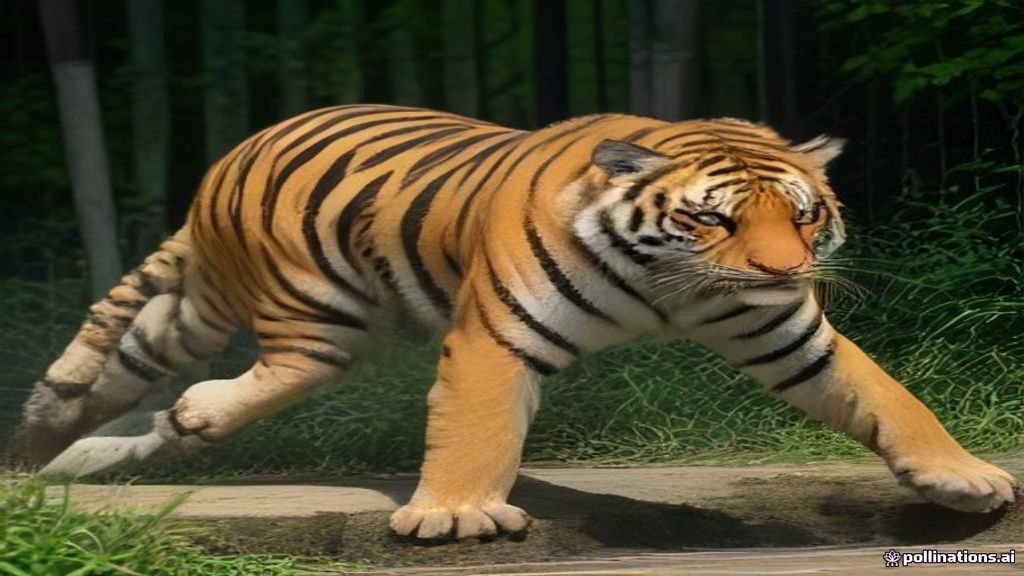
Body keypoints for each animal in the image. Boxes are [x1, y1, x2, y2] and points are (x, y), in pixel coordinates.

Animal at [18, 104, 1017, 540]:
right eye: (715, 220)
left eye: (804, 216)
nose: (786, 271)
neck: (670, 287)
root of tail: (227, 159)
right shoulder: (495, 338)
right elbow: (477, 430)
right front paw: (458, 515)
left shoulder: (790, 337)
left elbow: (891, 397)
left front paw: (963, 478)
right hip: (310, 298)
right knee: (279, 366)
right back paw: (178, 420)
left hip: (203, 308)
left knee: (130, 372)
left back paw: (72, 452)